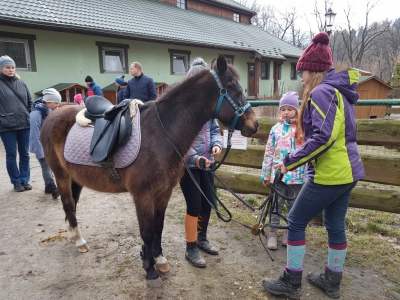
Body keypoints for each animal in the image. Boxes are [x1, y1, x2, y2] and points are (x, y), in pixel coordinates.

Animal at [40, 55, 258, 288]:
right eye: (236, 90)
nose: (254, 125)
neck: (162, 134)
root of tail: (53, 114)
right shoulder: (142, 196)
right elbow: (146, 231)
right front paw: (150, 270)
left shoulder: (163, 193)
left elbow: (158, 228)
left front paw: (159, 260)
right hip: (61, 176)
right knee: (68, 204)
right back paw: (80, 241)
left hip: (76, 178)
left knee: (72, 205)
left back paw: (75, 236)